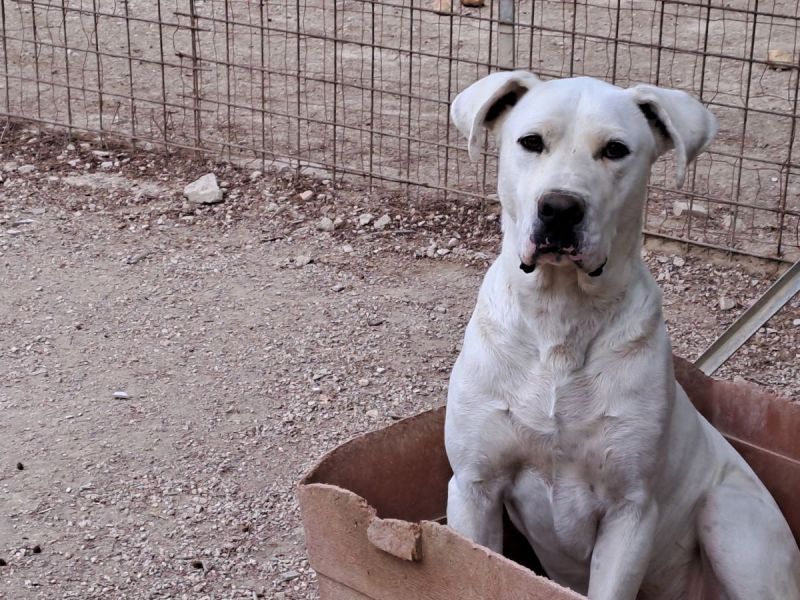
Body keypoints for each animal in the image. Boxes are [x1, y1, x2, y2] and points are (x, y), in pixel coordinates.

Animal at [446, 71, 796, 600]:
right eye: (531, 142)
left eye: (615, 150)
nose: (560, 209)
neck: (562, 316)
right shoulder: (473, 486)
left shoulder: (629, 512)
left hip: (730, 518)